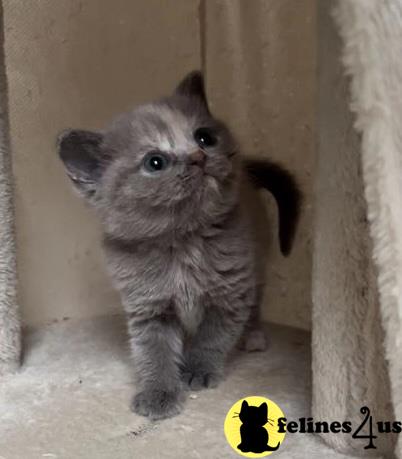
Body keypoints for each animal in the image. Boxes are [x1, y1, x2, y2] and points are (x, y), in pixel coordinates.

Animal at [58, 71, 300, 420]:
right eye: (155, 162)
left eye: (204, 137)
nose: (199, 157)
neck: (183, 242)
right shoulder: (148, 306)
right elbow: (153, 352)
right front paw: (158, 393)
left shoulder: (231, 290)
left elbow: (213, 336)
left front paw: (198, 369)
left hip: (256, 262)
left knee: (256, 300)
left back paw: (253, 335)